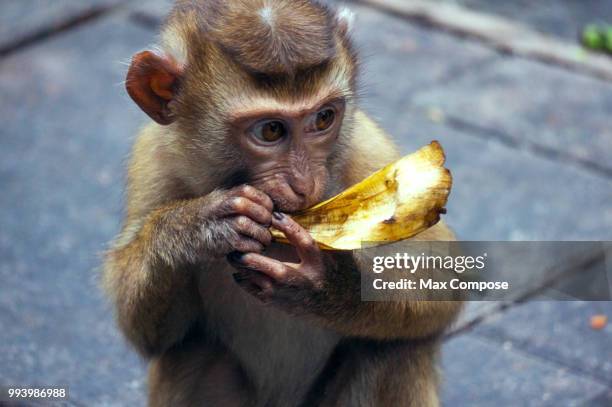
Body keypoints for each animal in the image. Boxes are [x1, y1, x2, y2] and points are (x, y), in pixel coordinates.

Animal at [103, 1, 462, 406]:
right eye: (271, 130)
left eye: (323, 118)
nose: (304, 184)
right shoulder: (154, 158)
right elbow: (148, 335)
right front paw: (195, 225)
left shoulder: (367, 149)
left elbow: (443, 279)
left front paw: (324, 284)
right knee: (188, 352)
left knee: (394, 347)